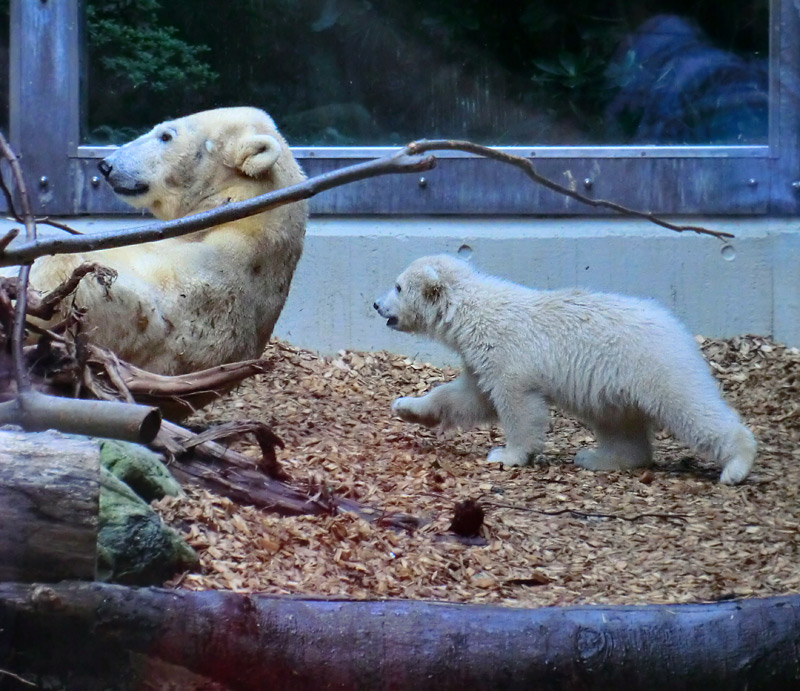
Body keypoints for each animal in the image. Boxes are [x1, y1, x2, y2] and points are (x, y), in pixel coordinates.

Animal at [376, 255, 756, 486]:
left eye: (397, 286)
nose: (377, 304)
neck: (473, 311)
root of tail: (676, 327)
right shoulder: (479, 356)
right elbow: (468, 396)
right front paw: (406, 407)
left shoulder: (507, 351)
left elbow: (516, 402)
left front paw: (508, 454)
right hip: (616, 382)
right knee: (617, 421)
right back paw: (598, 457)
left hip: (655, 364)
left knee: (689, 408)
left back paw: (736, 465)